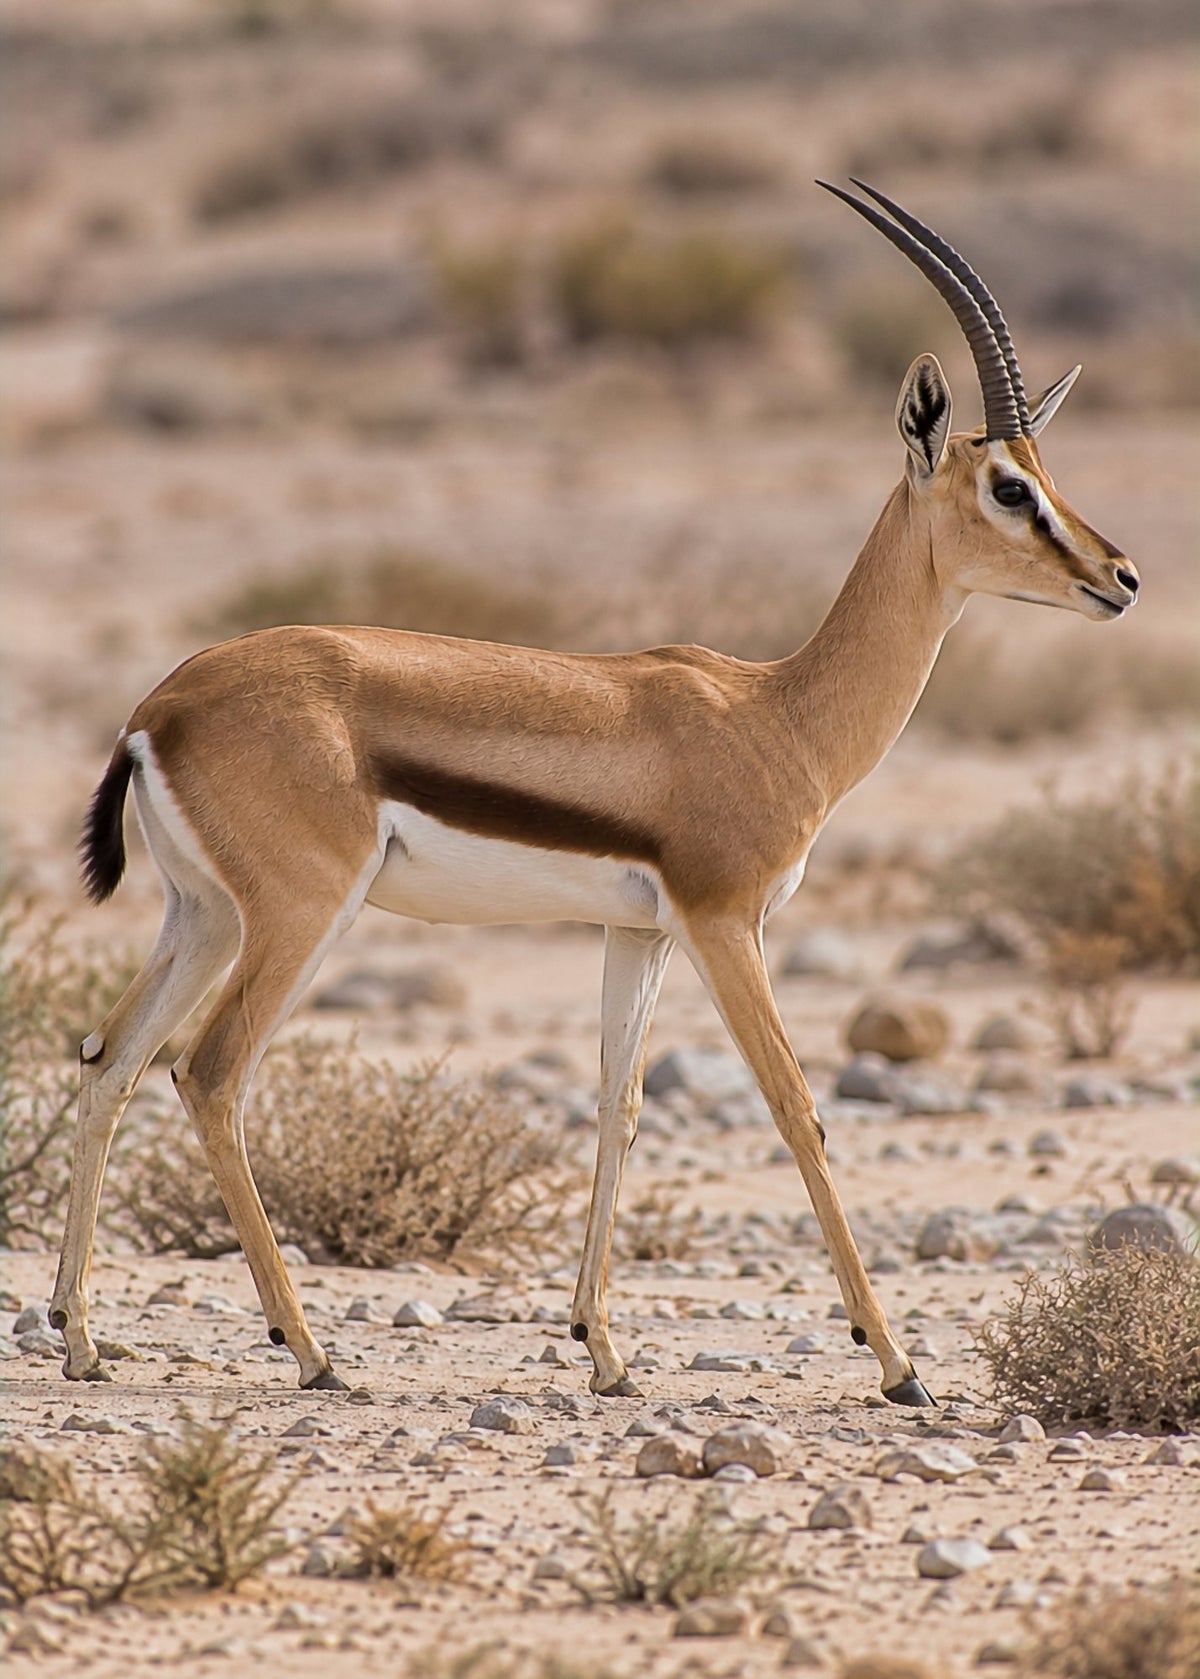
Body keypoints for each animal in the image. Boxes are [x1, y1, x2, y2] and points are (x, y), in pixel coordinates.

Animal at [52, 181, 1138, 1406]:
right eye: (1010, 486)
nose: (1122, 577)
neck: (778, 713)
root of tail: (159, 706)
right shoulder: (726, 922)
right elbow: (795, 1105)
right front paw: (899, 1362)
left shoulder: (642, 934)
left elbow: (619, 1103)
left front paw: (605, 1350)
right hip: (295, 917)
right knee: (209, 1072)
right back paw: (314, 1350)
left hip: (202, 916)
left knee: (110, 1058)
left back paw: (82, 1336)